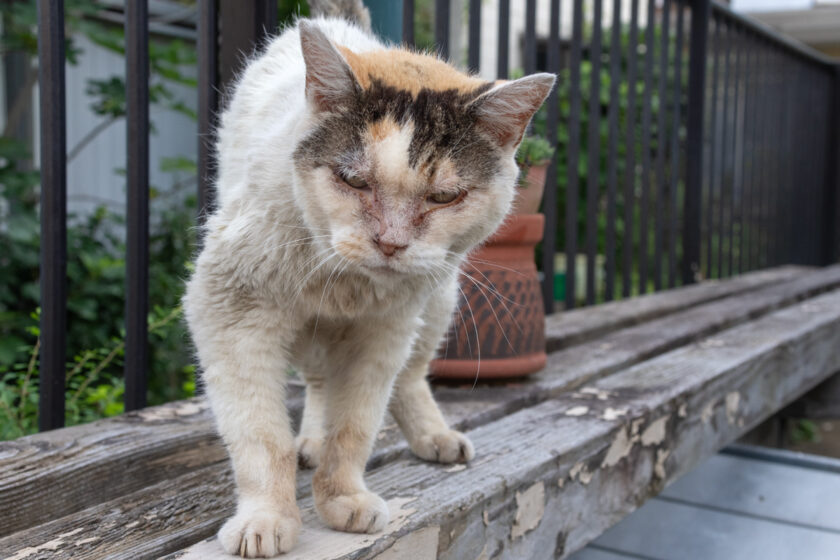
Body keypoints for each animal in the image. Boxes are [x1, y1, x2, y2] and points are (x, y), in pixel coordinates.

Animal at [182, 3, 552, 556]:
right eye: (352, 180)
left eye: (445, 197)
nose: (391, 243)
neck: (346, 287)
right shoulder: (230, 308)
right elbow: (262, 434)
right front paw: (265, 519)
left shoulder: (383, 333)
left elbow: (355, 426)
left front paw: (343, 499)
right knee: (317, 382)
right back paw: (310, 441)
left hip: (438, 299)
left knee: (411, 377)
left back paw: (434, 436)